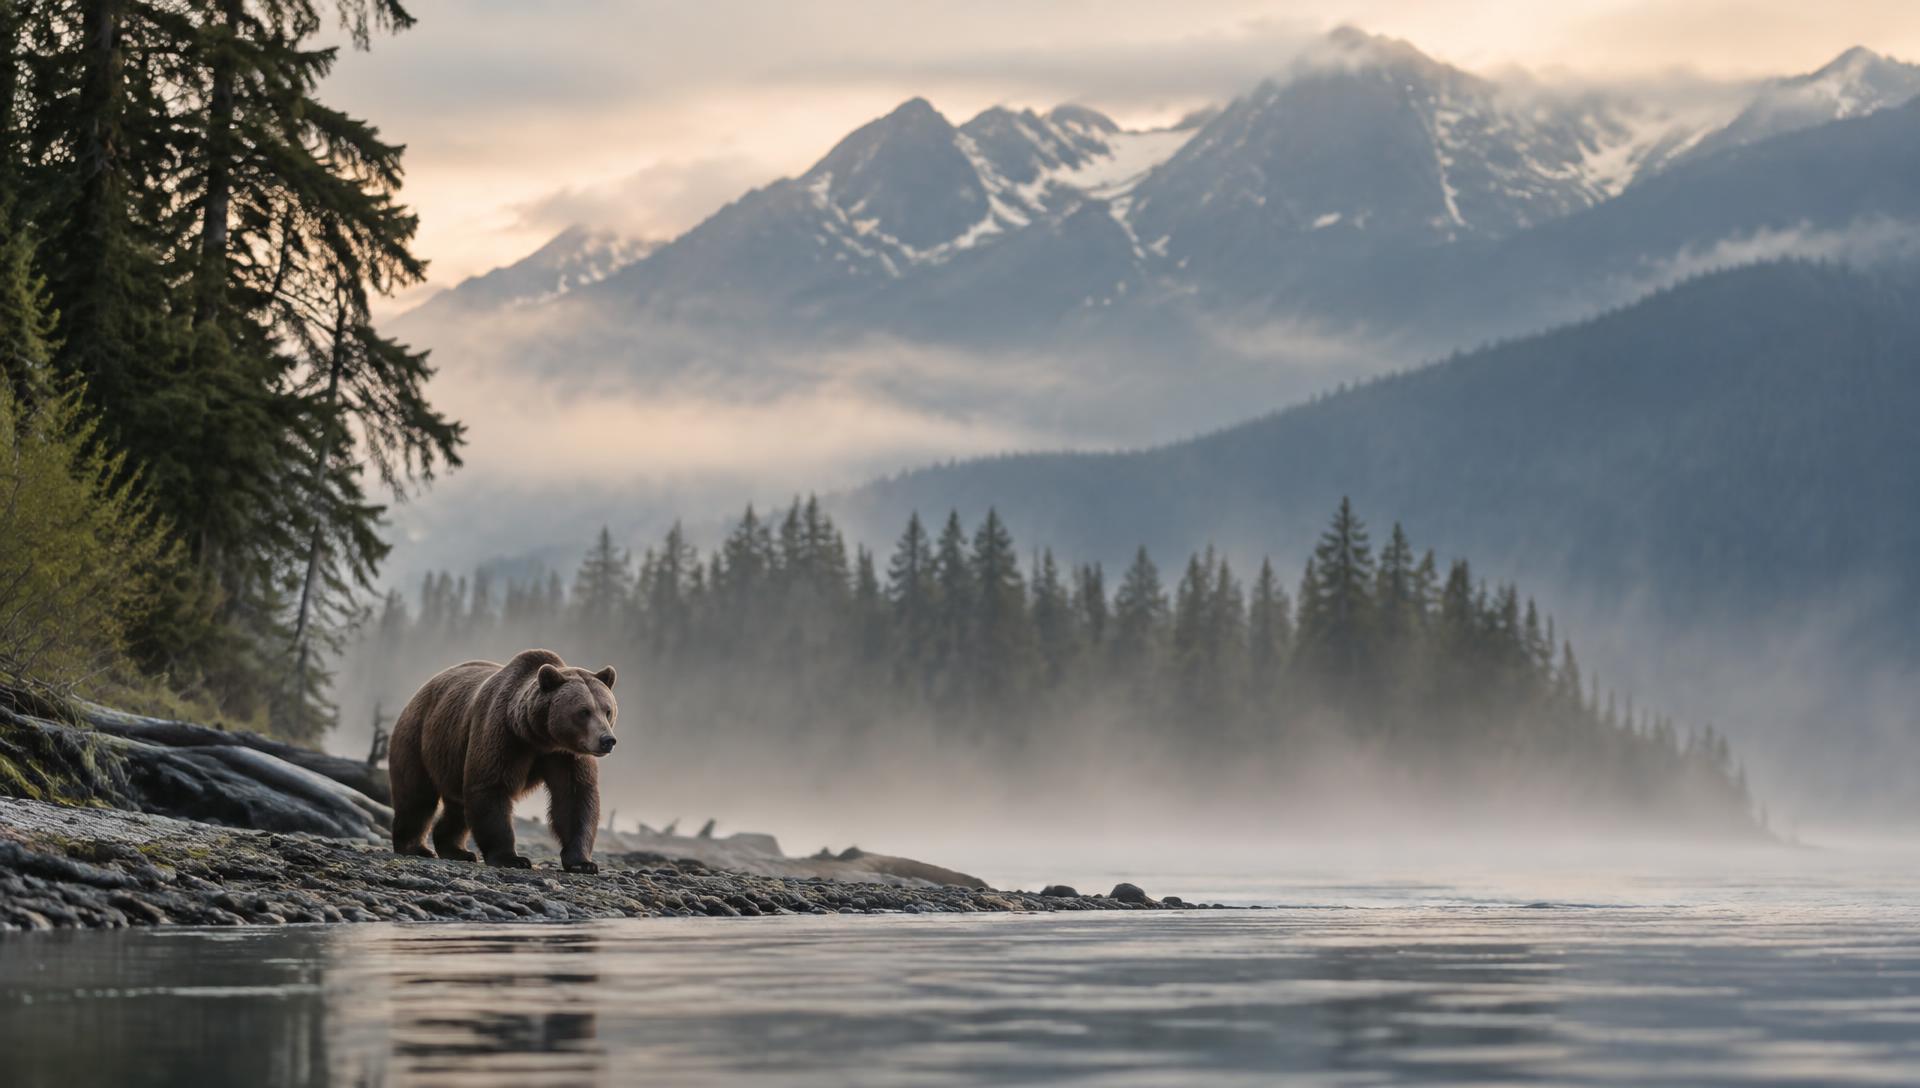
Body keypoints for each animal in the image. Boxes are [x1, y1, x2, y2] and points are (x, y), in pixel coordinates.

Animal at [388, 648, 619, 873]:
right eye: (584, 711)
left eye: (608, 710)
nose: (607, 740)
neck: (539, 737)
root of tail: (424, 687)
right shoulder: (503, 735)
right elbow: (491, 786)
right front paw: (512, 858)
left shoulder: (565, 755)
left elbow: (574, 797)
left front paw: (583, 862)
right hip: (419, 736)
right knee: (417, 795)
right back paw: (415, 847)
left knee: (457, 806)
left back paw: (457, 850)